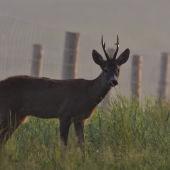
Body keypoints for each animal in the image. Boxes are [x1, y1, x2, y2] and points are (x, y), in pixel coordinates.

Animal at [0, 34, 129, 149]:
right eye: (105, 70)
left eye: (118, 70)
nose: (113, 81)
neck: (87, 94)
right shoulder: (64, 113)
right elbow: (64, 146)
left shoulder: (80, 119)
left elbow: (83, 146)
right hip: (6, 111)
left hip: (18, 117)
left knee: (3, 140)